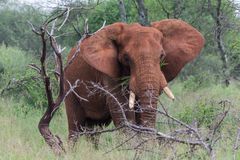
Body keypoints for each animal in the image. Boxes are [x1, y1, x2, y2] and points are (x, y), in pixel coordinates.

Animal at [64, 18, 204, 142]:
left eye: (161, 56)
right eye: (126, 58)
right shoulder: (109, 72)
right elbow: (121, 106)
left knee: (94, 130)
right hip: (69, 85)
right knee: (75, 127)